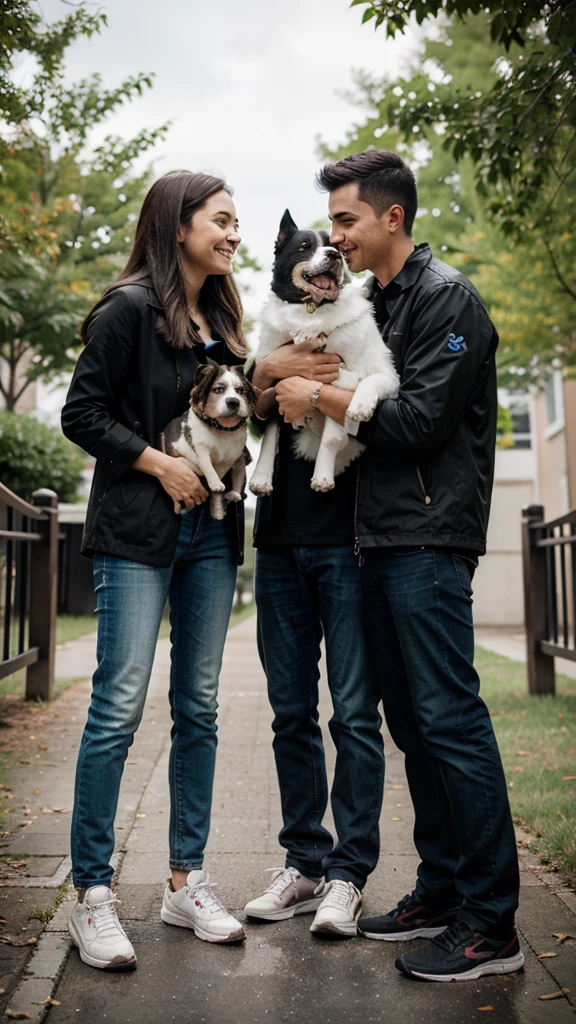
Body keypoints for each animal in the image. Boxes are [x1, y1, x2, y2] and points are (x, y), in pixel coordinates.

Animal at [158, 364, 253, 520]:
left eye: (240, 391)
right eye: (219, 390)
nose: (234, 401)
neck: (223, 429)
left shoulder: (237, 455)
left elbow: (238, 476)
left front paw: (232, 494)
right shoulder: (201, 447)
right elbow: (207, 465)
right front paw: (215, 483)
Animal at [249, 209, 397, 493]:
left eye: (336, 246)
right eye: (305, 247)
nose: (333, 254)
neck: (311, 309)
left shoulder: (383, 374)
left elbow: (363, 388)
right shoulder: (273, 385)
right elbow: (270, 435)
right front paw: (261, 477)